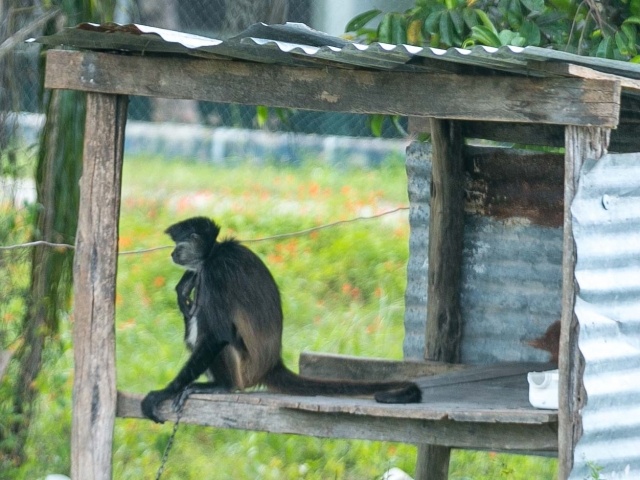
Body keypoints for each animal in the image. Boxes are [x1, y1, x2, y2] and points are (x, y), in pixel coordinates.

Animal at [141, 216, 420, 422]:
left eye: (178, 245)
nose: (172, 254)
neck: (215, 251)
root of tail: (271, 363)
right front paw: (184, 284)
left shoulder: (215, 271)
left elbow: (217, 335)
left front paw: (163, 393)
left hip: (245, 367)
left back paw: (222, 385)